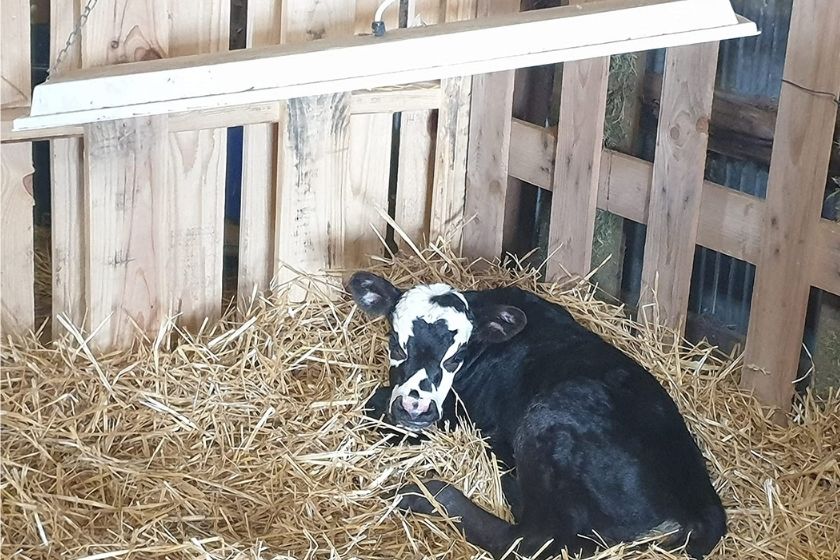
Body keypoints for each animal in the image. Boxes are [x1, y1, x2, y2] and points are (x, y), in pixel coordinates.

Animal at [344, 270, 724, 556]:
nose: (415, 407)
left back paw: (420, 493)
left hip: (547, 422)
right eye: (395, 345)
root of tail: (704, 502)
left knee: (531, 540)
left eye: (456, 357)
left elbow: (373, 407)